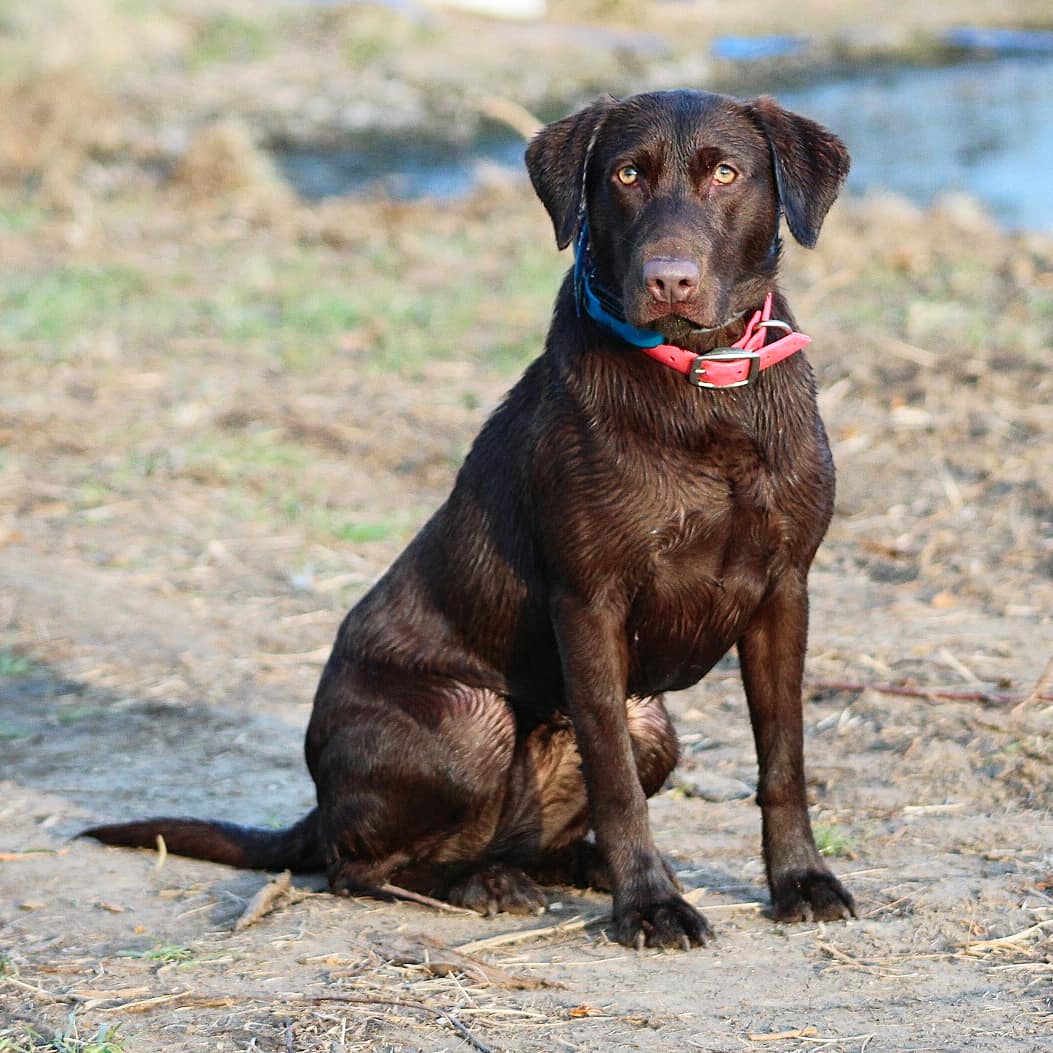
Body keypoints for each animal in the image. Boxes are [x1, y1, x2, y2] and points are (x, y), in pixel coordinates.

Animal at [82, 88, 855, 947]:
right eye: (626, 174)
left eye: (725, 173)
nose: (669, 279)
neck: (703, 387)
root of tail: (318, 808)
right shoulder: (588, 601)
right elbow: (615, 780)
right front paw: (648, 904)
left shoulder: (784, 590)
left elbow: (782, 759)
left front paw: (801, 880)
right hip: (467, 719)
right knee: (361, 867)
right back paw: (482, 882)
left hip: (651, 721)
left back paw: (566, 864)